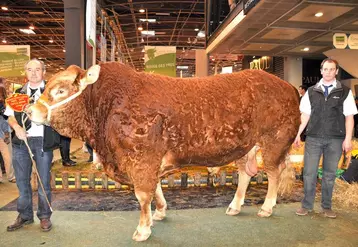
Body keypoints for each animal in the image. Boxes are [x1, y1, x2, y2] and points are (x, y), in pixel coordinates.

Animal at [26, 61, 302, 241]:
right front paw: (159, 212)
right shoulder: (149, 160)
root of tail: (287, 86)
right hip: (246, 147)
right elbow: (156, 188)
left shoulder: (142, 158)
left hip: (274, 142)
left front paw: (143, 229)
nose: (29, 111)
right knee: (246, 173)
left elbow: (142, 195)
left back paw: (267, 207)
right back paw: (235, 205)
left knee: (273, 173)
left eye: (60, 90)